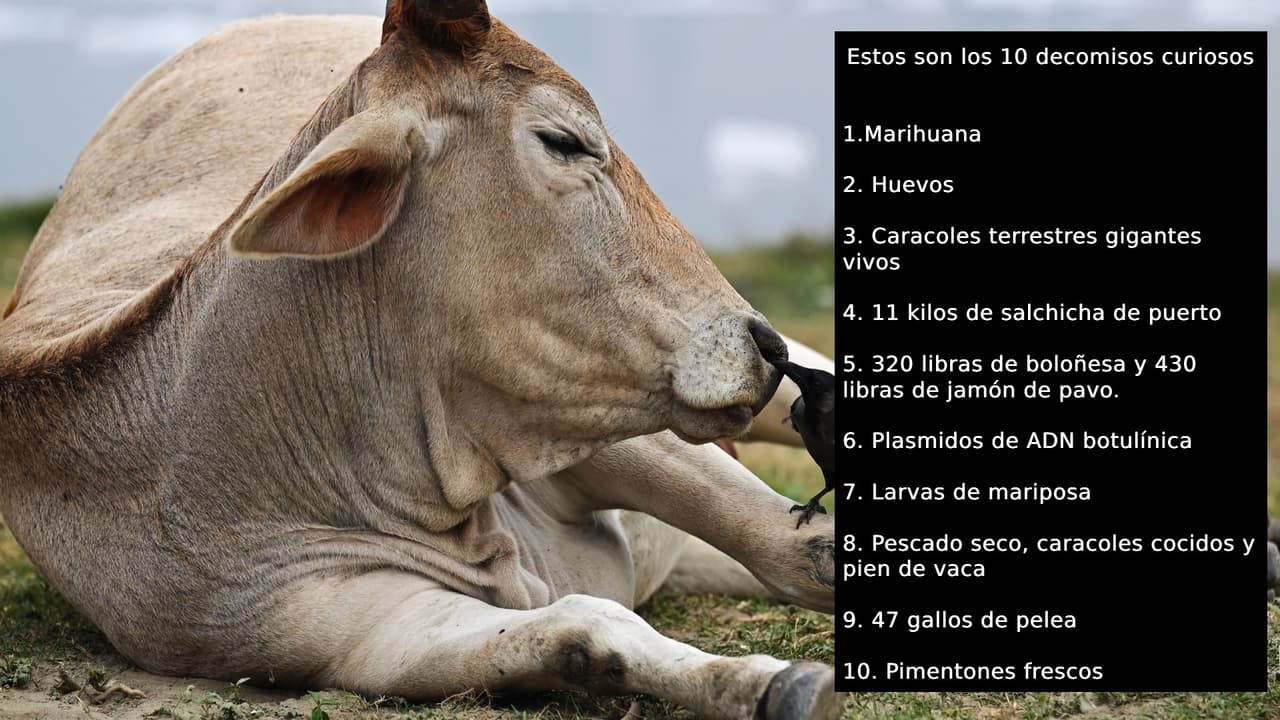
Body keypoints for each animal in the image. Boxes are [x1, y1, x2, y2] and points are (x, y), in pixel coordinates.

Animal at [0, 3, 840, 719]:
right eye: (564, 141)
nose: (760, 341)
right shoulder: (362, 633)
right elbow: (586, 627)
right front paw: (766, 684)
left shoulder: (589, 419)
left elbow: (793, 547)